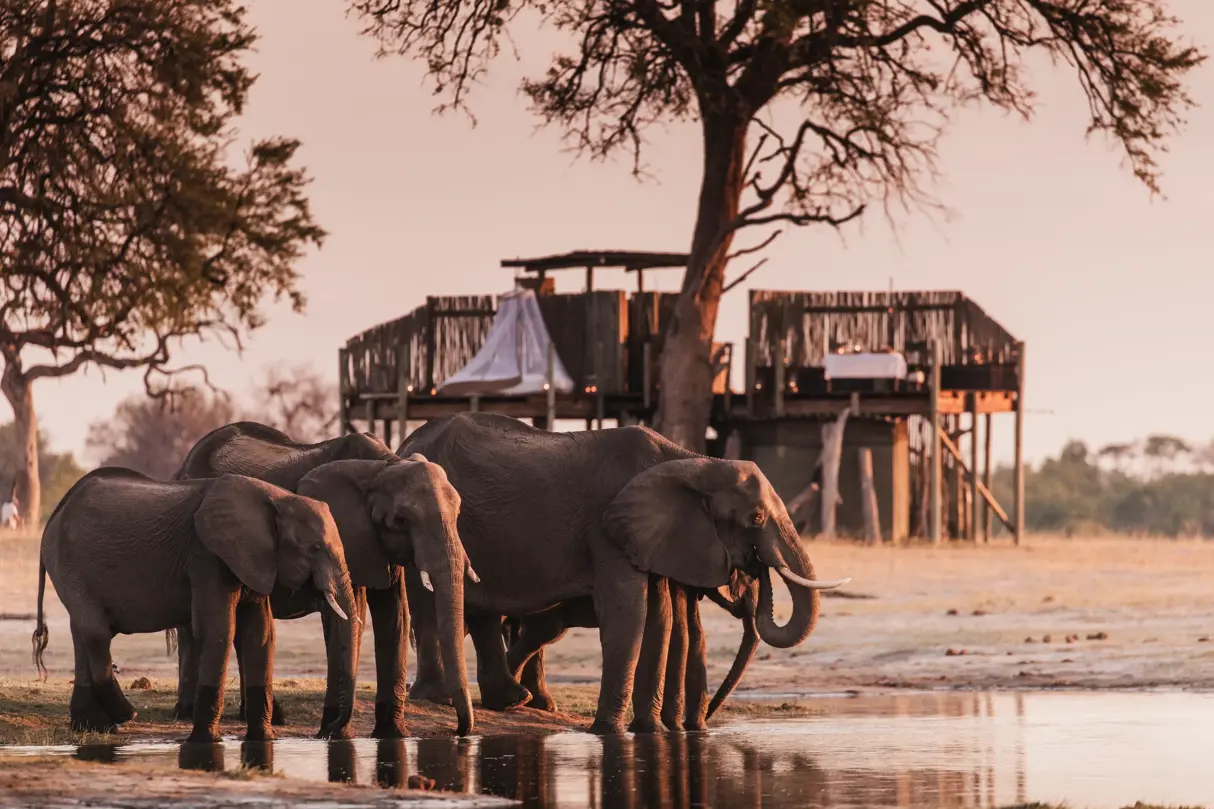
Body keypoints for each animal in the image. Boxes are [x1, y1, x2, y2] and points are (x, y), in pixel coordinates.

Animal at [31, 467, 359, 742]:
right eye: (314, 548)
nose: (325, 733)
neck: (277, 498)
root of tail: (54, 516)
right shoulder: (207, 556)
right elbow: (218, 630)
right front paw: (206, 741)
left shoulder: (253, 559)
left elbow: (260, 634)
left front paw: (264, 740)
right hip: (72, 566)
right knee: (96, 632)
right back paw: (125, 715)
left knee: (82, 634)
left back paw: (95, 727)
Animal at [170, 421, 476, 737]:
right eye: (401, 520)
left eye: (458, 513)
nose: (458, 731)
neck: (384, 465)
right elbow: (349, 614)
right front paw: (336, 733)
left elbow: (394, 615)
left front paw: (392, 734)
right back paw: (187, 711)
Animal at [399, 412, 849, 734]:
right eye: (754, 518)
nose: (757, 566)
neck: (693, 462)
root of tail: (406, 442)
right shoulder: (607, 527)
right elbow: (628, 612)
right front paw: (608, 732)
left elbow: (660, 618)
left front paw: (650, 732)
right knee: (435, 604)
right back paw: (443, 699)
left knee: (487, 612)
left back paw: (510, 700)